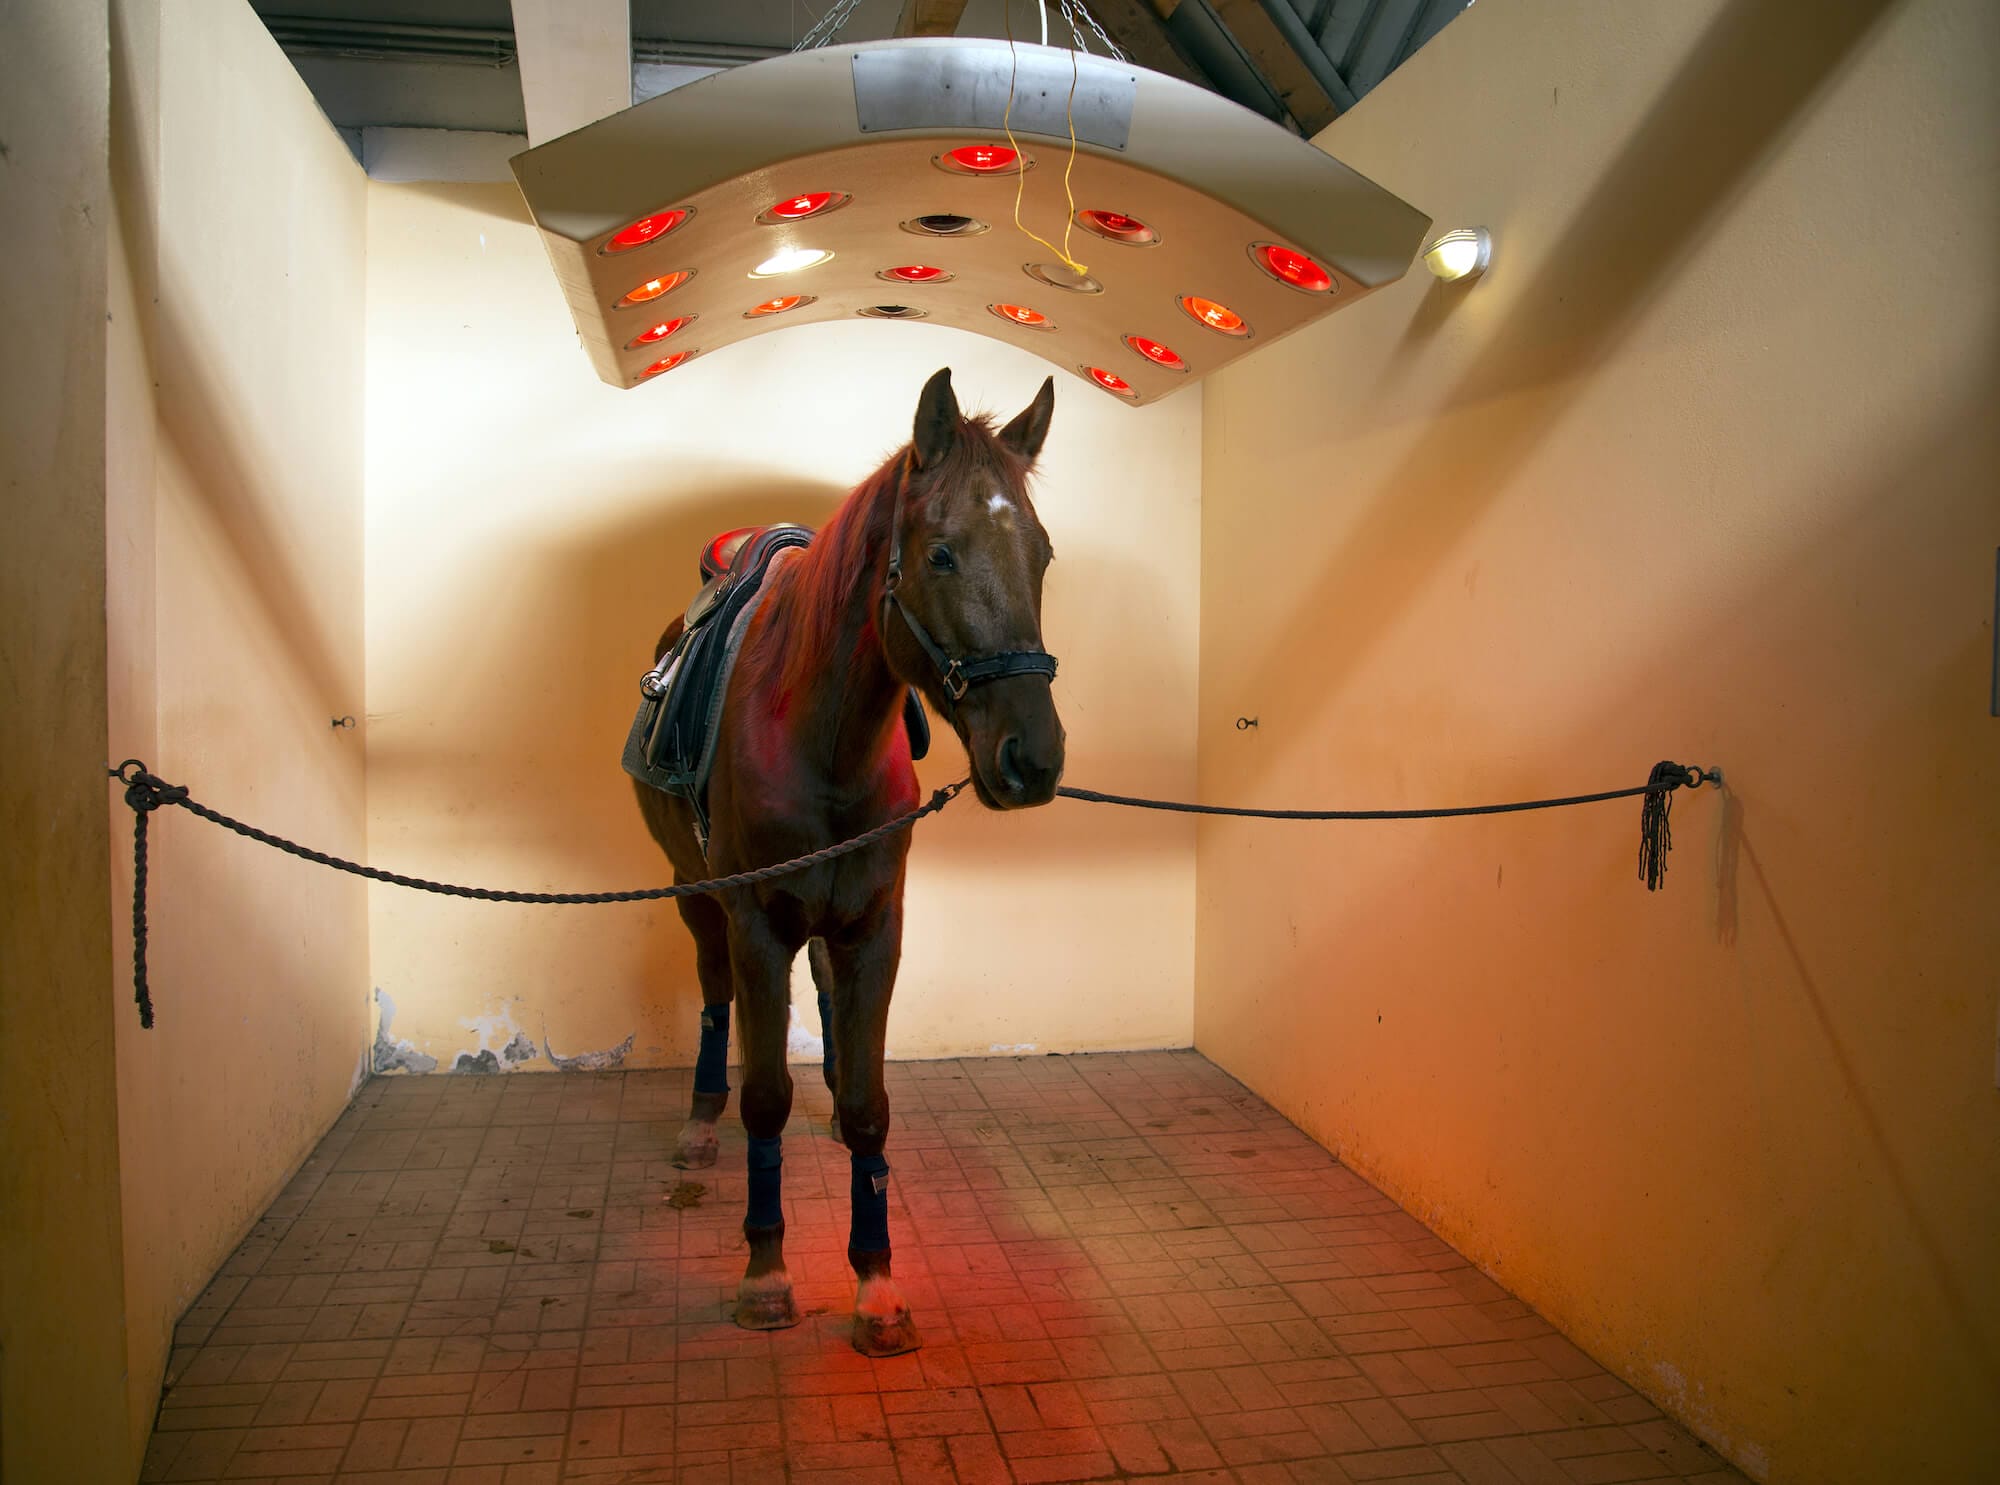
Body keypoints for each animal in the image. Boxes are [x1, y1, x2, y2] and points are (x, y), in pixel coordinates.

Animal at [636, 370, 1072, 1360]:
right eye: (941, 553)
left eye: (1041, 555)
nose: (1034, 759)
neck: (824, 737)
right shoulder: (757, 924)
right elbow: (764, 1097)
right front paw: (766, 1272)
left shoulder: (876, 922)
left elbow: (874, 1099)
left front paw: (874, 1281)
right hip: (695, 895)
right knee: (712, 994)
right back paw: (697, 1121)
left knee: (827, 994)